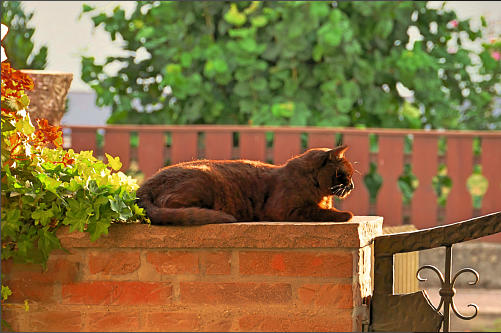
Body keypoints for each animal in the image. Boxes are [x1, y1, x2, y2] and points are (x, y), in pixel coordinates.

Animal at [137, 146, 354, 226]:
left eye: (351, 176)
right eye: (345, 174)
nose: (352, 185)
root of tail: (144, 185)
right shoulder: (285, 210)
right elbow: (316, 211)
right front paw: (345, 214)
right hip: (202, 179)